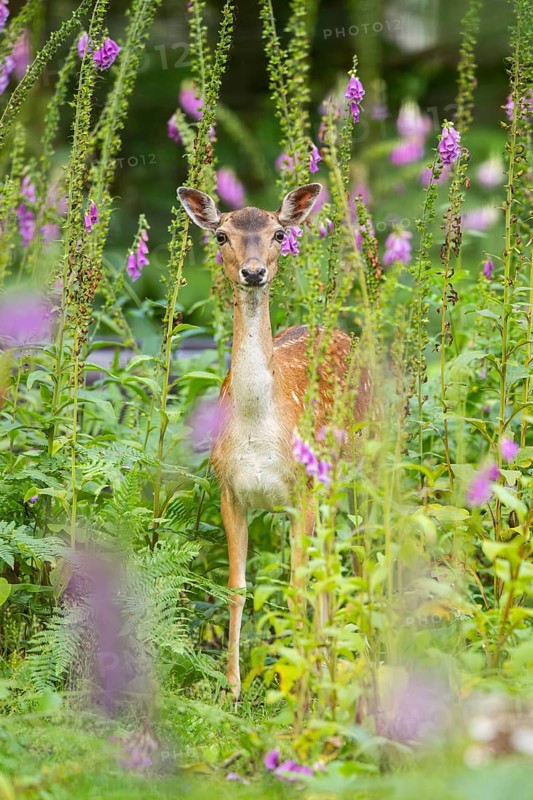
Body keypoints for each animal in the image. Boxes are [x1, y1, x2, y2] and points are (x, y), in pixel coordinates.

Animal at [178, 182, 369, 698]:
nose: (253, 271)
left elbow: (298, 589)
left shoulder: (303, 491)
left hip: (359, 469)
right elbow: (237, 587)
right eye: (221, 235)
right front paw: (232, 688)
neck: (258, 429)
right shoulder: (229, 489)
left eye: (279, 234)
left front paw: (299, 690)